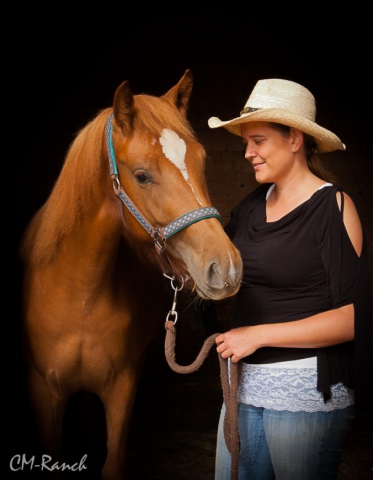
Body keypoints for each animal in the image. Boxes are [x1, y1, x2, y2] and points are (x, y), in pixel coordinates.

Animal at [19, 70, 241, 480]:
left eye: (202, 161)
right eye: (141, 175)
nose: (227, 267)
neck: (78, 294)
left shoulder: (121, 388)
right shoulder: (43, 390)